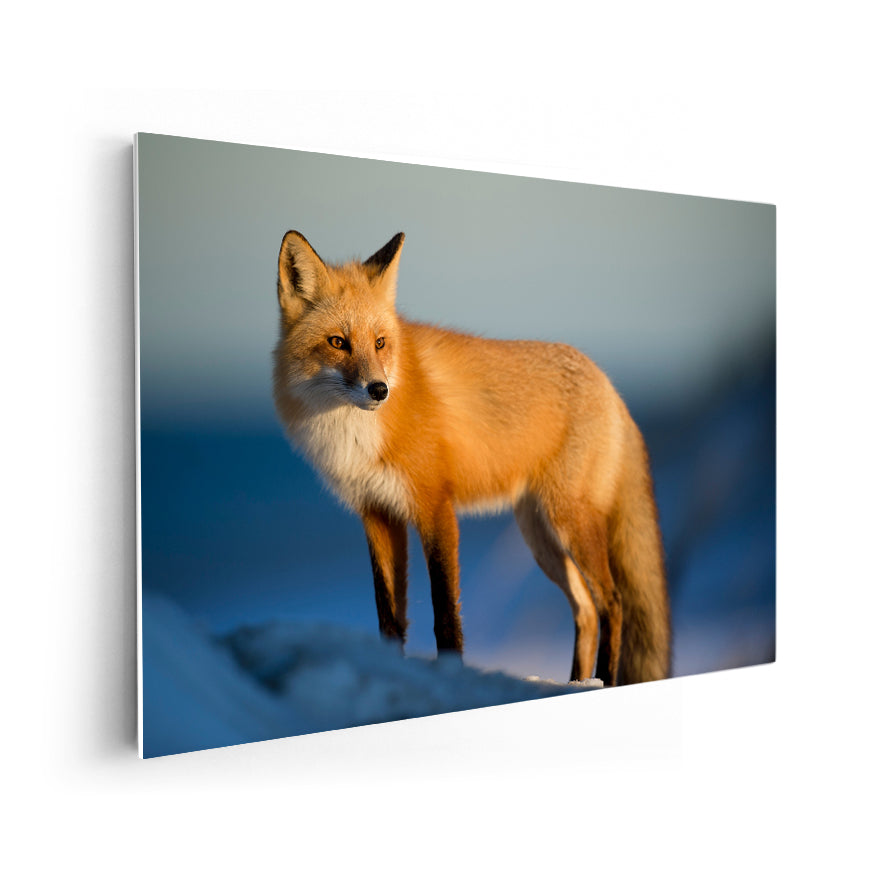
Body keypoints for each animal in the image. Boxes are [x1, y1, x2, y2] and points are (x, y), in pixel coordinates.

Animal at [272, 230, 671, 686]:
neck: (355, 435)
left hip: (570, 522)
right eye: (338, 342)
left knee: (613, 602)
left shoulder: (435, 507)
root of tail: (610, 386)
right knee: (586, 609)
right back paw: (576, 682)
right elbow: (389, 618)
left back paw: (602, 680)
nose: (379, 390)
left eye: (380, 343)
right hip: (540, 537)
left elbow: (445, 615)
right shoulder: (377, 513)